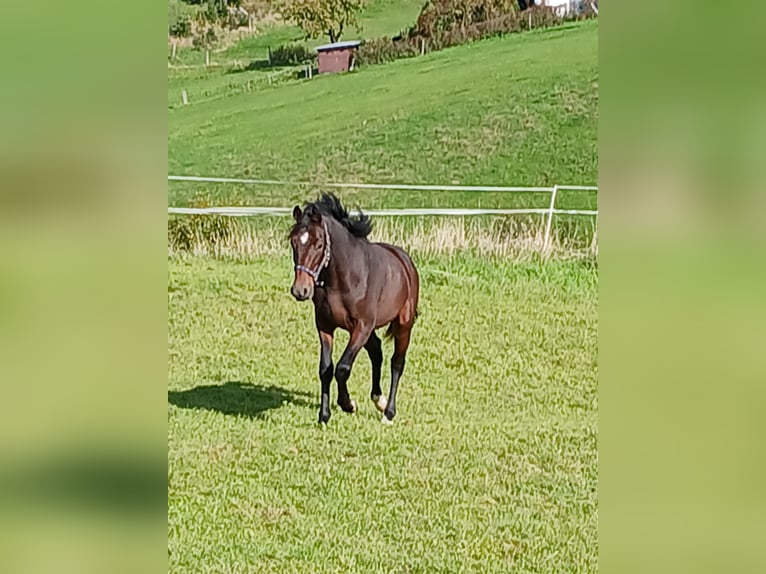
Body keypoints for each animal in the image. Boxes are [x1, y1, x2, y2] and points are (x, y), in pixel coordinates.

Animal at [288, 196, 420, 426]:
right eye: (293, 242)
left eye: (319, 244)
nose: (300, 290)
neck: (343, 279)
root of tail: (405, 261)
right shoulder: (325, 326)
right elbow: (326, 369)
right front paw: (324, 416)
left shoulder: (362, 327)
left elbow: (342, 368)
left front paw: (348, 404)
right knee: (377, 351)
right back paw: (379, 400)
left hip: (404, 324)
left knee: (397, 363)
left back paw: (388, 413)